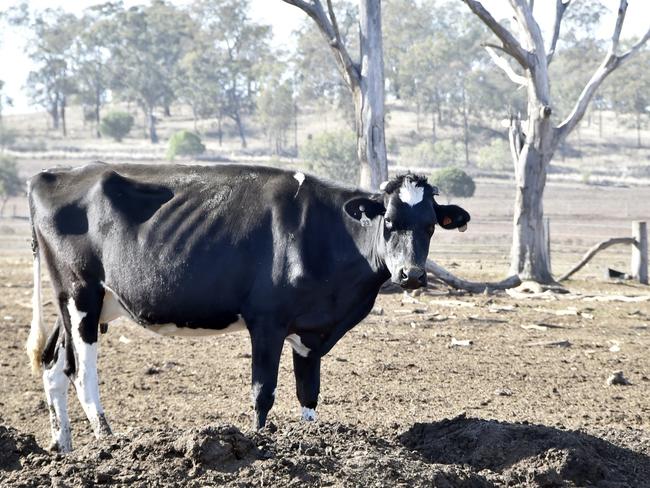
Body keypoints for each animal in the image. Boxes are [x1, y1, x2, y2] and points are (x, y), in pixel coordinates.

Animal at [25, 163, 468, 450]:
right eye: (388, 222)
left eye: (430, 225)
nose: (411, 275)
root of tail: (52, 175)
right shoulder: (267, 321)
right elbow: (263, 392)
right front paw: (258, 442)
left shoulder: (311, 328)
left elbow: (309, 394)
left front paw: (313, 440)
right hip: (81, 293)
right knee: (81, 371)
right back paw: (106, 441)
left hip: (84, 304)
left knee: (53, 365)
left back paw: (62, 448)